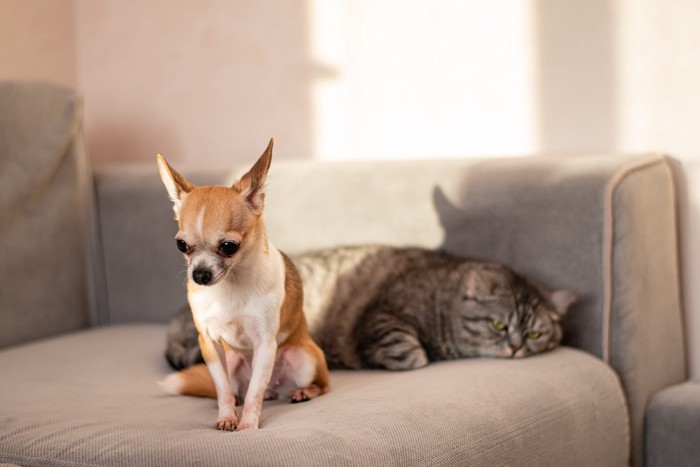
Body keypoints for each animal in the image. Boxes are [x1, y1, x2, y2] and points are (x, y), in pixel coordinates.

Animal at [157, 139, 330, 432]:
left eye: (229, 246)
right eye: (181, 245)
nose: (199, 275)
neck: (231, 285)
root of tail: (277, 389)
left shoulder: (265, 344)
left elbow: (255, 392)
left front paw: (248, 425)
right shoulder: (209, 344)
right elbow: (223, 389)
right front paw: (227, 416)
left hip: (303, 357)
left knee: (319, 385)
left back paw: (303, 392)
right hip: (234, 359)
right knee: (245, 389)